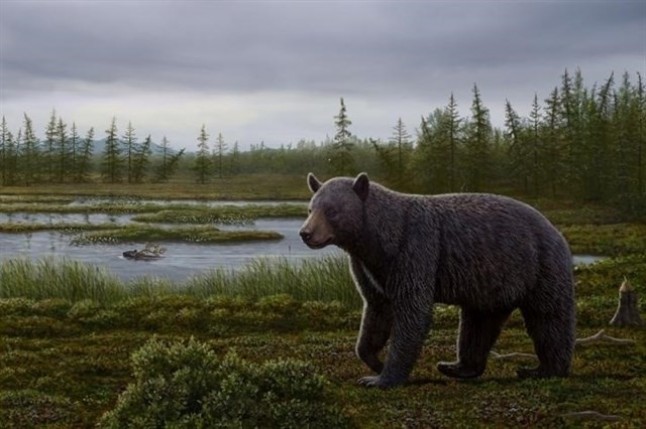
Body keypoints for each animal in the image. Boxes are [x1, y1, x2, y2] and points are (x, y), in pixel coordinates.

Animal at [299, 172, 575, 388]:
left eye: (332, 211)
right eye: (311, 209)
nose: (305, 233)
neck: (379, 241)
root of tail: (554, 229)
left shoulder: (415, 250)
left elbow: (412, 311)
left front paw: (383, 378)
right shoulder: (369, 268)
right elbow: (376, 310)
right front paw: (375, 362)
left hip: (541, 268)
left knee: (549, 318)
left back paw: (544, 370)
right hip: (492, 281)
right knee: (478, 323)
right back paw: (457, 367)